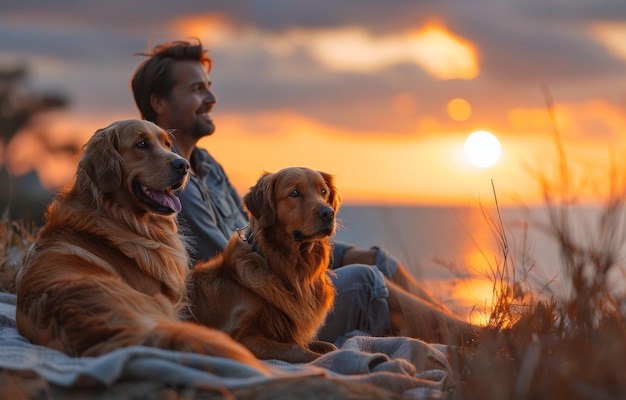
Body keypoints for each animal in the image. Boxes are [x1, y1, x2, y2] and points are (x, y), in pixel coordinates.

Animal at [188, 167, 338, 364]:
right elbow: (296, 349)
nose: (328, 213)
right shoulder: (237, 337)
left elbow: (331, 347)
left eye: (323, 191)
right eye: (294, 193)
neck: (288, 269)